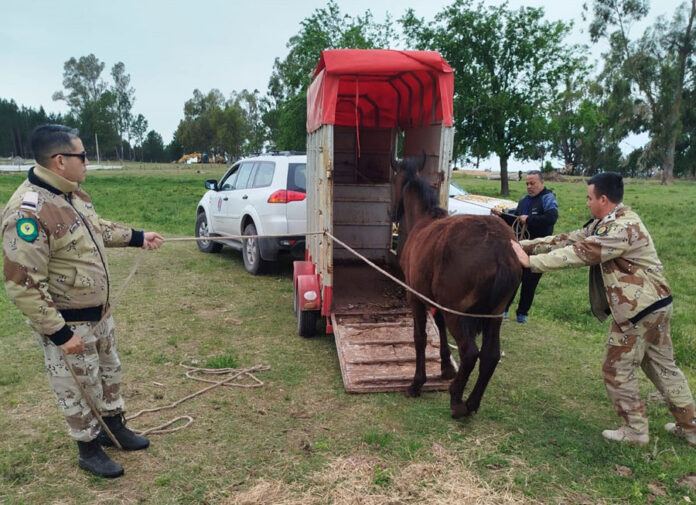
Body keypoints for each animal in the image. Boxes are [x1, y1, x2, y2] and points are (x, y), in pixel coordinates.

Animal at [391, 153, 522, 419]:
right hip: (493, 316)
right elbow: (439, 326)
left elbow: (420, 337)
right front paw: (445, 366)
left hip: (460, 315)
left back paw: (457, 400)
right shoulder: (437, 302)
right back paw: (471, 402)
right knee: (490, 356)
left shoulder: (416, 297)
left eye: (393, 182)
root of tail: (501, 249)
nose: (392, 213)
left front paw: (417, 383)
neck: (423, 220)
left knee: (470, 352)